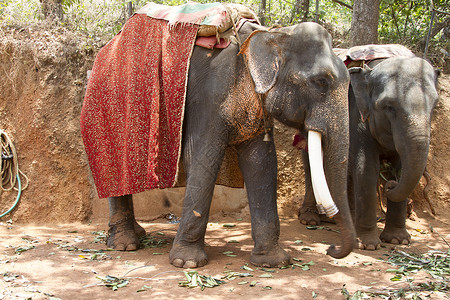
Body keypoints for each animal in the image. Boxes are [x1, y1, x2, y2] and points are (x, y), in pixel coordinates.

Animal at [81, 8, 356, 268]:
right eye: (321, 81)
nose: (331, 249)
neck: (270, 34)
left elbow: (262, 163)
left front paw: (273, 262)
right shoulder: (209, 95)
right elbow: (203, 157)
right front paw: (187, 263)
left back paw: (136, 235)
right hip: (107, 115)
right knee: (115, 176)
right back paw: (124, 244)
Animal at [298, 44, 440, 250]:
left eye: (435, 103)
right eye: (388, 106)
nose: (390, 185)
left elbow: (400, 165)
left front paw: (398, 240)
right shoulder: (357, 114)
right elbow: (366, 169)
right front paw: (368, 244)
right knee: (310, 161)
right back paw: (309, 220)